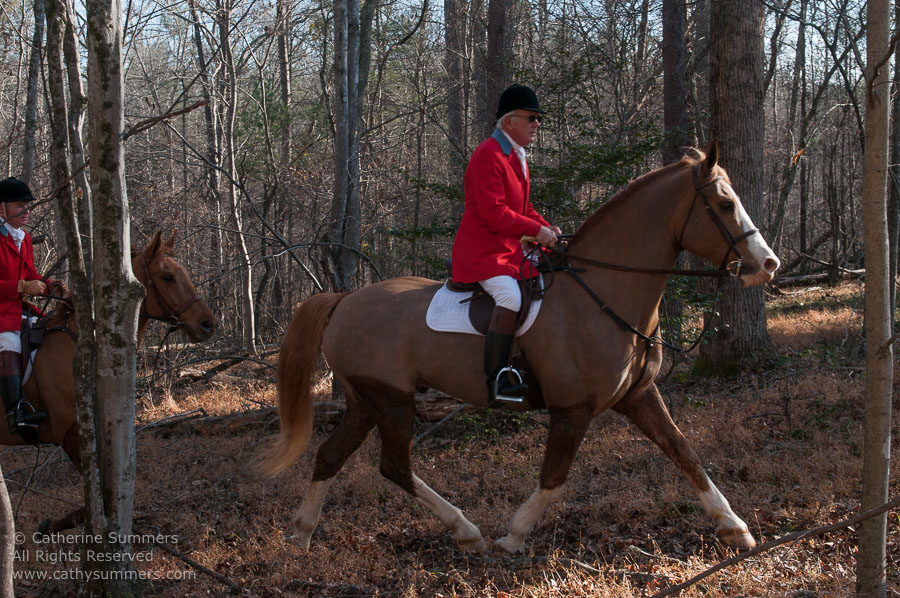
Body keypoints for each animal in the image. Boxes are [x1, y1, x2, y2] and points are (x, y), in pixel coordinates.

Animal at [260, 143, 780, 556]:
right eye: (724, 203)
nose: (768, 264)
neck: (603, 293)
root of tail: (344, 300)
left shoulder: (638, 396)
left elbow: (683, 450)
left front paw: (734, 527)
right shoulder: (573, 409)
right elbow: (554, 477)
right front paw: (514, 535)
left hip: (366, 400)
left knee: (331, 455)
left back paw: (303, 534)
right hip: (391, 399)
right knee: (394, 465)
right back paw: (465, 530)